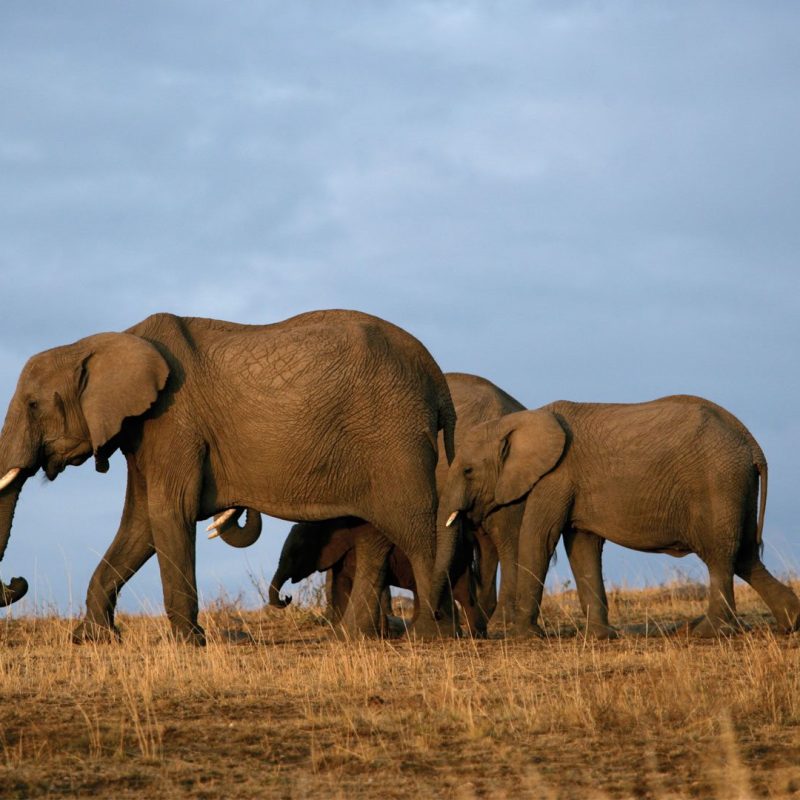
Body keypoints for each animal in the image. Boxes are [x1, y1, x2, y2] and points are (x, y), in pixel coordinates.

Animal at [0, 310, 458, 644]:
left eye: (33, 405)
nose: (18, 581)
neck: (103, 342)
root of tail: (437, 378)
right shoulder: (144, 431)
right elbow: (140, 523)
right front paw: (93, 638)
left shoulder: (173, 420)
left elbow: (168, 512)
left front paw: (188, 643)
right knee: (374, 535)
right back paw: (363, 637)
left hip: (395, 437)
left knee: (415, 528)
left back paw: (430, 634)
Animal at [440, 394, 800, 638]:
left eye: (469, 470)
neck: (520, 420)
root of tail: (753, 446)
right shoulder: (571, 484)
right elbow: (582, 546)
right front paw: (598, 637)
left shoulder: (555, 476)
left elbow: (539, 538)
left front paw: (522, 637)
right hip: (737, 488)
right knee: (745, 556)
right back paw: (790, 623)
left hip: (719, 484)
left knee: (721, 555)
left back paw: (707, 632)